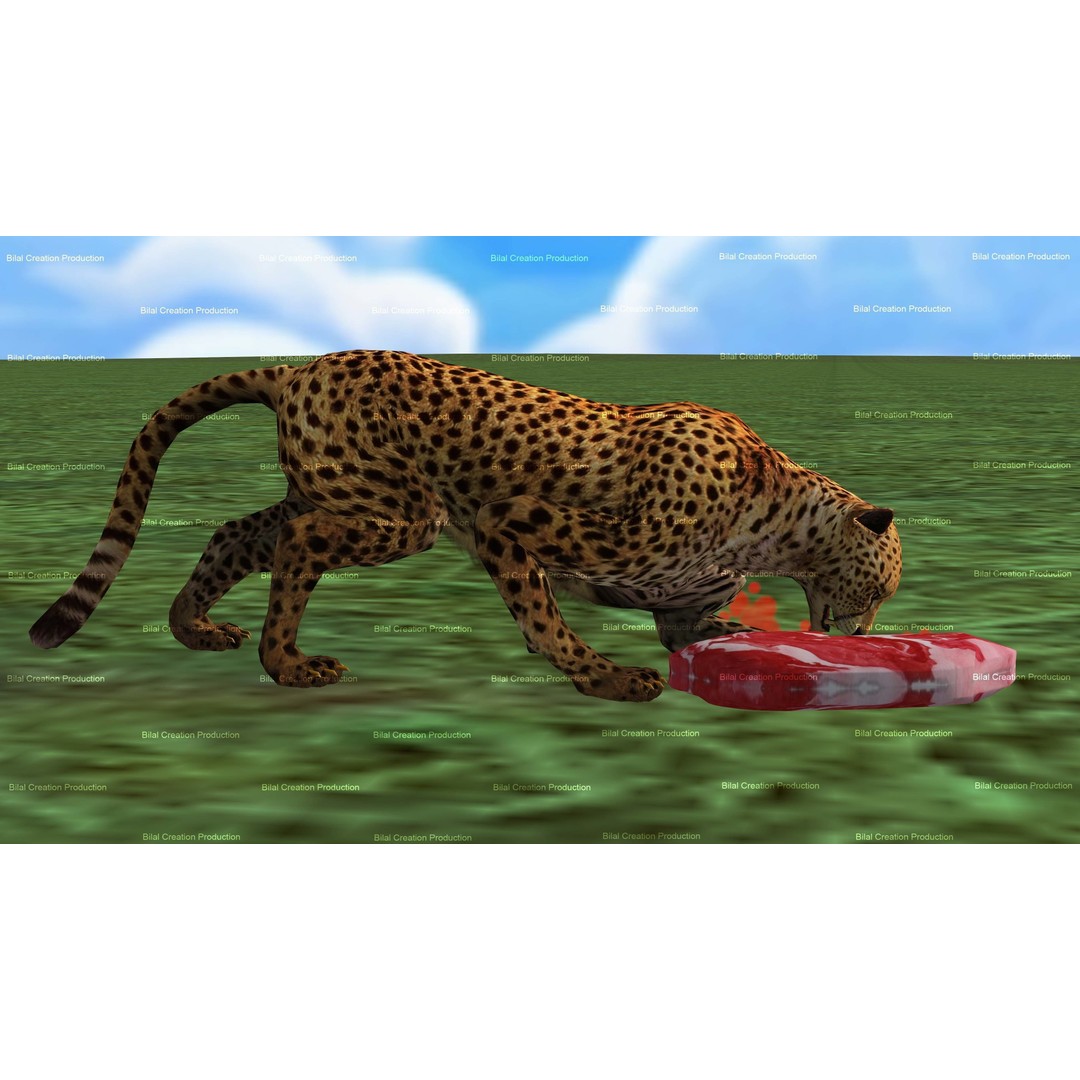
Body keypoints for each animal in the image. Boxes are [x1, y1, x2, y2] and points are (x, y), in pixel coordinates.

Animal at [29, 349, 902, 702]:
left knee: (241, 531)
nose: (863, 636)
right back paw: (289, 665)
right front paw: (606, 679)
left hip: (337, 491)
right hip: (404, 512)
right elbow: (544, 618)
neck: (778, 519)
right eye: (880, 587)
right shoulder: (507, 519)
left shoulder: (677, 599)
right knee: (296, 544)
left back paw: (195, 627)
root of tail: (304, 363)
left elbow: (690, 629)